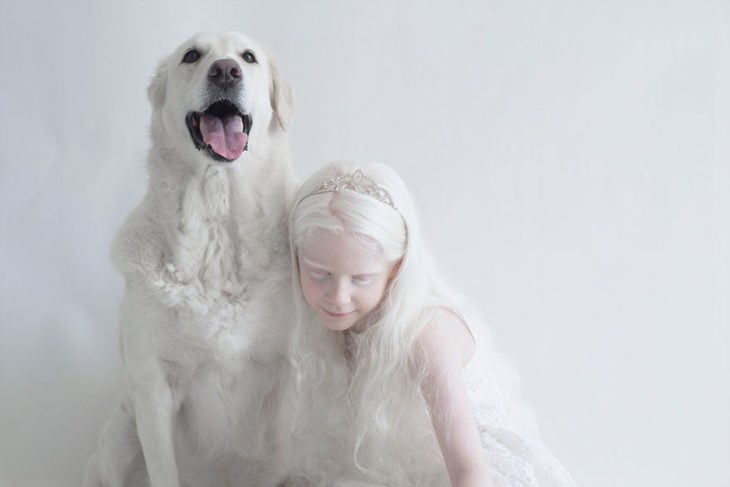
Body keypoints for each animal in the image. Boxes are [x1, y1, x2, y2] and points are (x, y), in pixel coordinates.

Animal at [86, 32, 298, 486]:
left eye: (248, 57)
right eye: (192, 56)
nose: (225, 71)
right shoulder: (153, 387)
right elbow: (164, 469)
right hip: (123, 430)